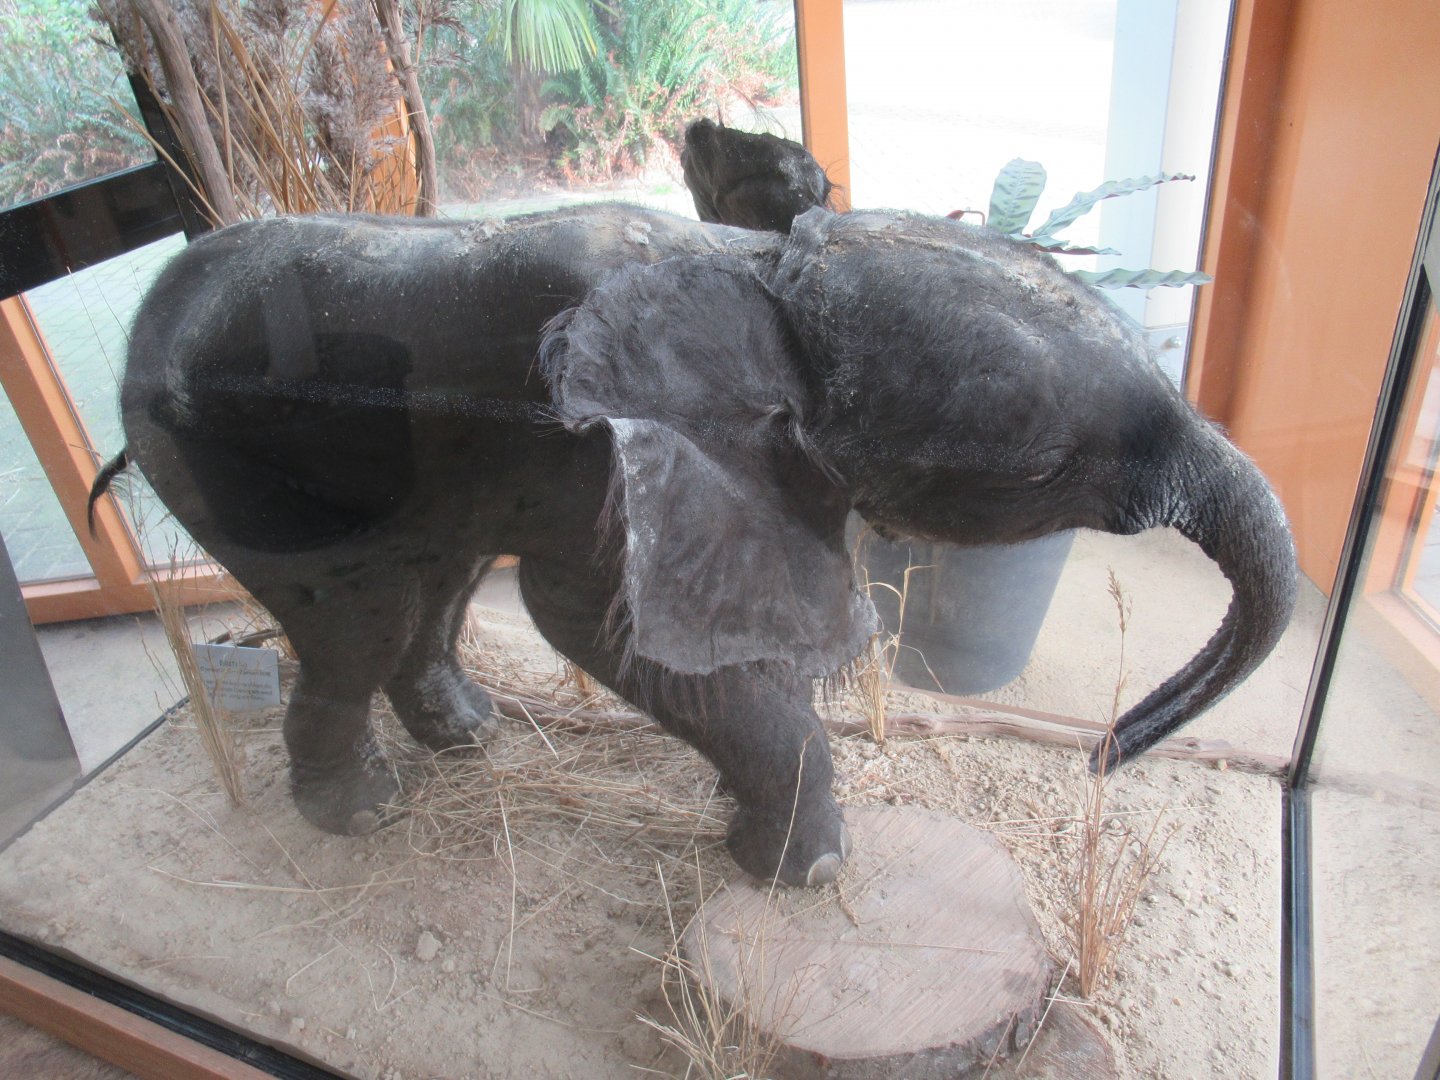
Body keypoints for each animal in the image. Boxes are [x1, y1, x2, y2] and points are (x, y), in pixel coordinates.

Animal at [91, 162, 1297, 889]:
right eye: (1053, 464)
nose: (1108, 751)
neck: (765, 270)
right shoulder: (601, 455)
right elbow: (595, 622)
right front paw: (805, 875)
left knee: (434, 581)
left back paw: (469, 736)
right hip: (231, 465)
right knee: (360, 618)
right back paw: (362, 816)